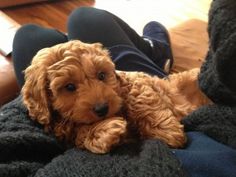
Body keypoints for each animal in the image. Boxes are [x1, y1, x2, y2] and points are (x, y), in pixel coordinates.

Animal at [22, 40, 210, 153]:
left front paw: (166, 131)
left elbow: (141, 100)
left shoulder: (136, 82)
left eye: (101, 75)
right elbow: (81, 132)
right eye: (69, 87)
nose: (102, 108)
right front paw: (104, 130)